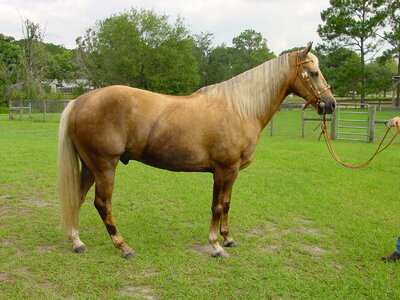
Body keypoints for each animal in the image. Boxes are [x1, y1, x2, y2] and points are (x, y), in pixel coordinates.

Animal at [57, 42, 336, 258]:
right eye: (313, 73)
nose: (331, 104)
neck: (239, 109)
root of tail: (79, 101)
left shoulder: (229, 173)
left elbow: (226, 203)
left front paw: (228, 238)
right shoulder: (224, 170)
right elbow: (217, 207)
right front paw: (216, 246)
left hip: (89, 167)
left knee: (77, 198)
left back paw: (77, 242)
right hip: (105, 166)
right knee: (102, 204)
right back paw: (124, 247)